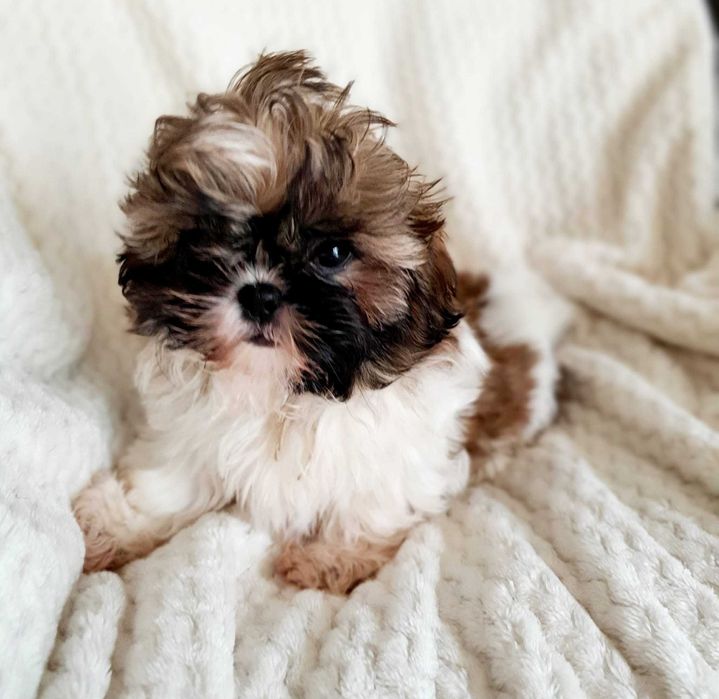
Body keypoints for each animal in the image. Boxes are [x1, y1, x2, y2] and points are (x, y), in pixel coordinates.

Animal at [73, 51, 568, 594]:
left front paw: (331, 556)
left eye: (332, 253)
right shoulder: (189, 439)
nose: (260, 294)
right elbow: (167, 483)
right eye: (206, 238)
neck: (285, 393)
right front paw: (113, 524)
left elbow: (372, 504)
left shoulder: (400, 459)